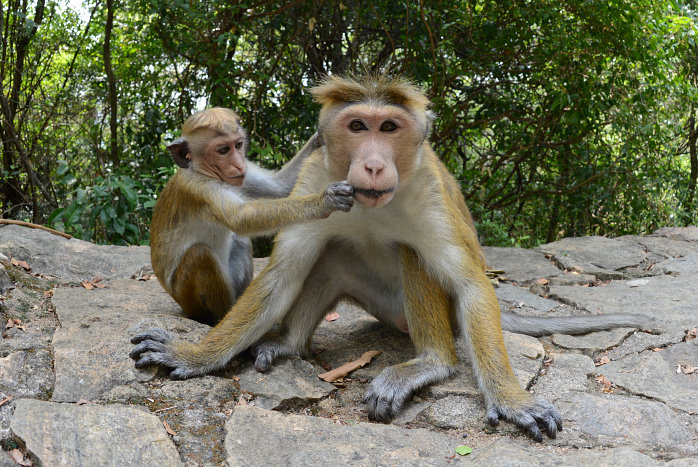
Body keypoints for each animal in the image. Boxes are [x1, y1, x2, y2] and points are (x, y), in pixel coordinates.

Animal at [149, 107, 350, 324]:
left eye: (238, 145)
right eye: (223, 150)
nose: (239, 164)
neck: (202, 172)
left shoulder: (242, 176)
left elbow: (279, 187)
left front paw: (320, 135)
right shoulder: (198, 189)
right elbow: (241, 218)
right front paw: (325, 200)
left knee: (240, 241)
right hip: (186, 298)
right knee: (200, 254)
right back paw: (222, 316)